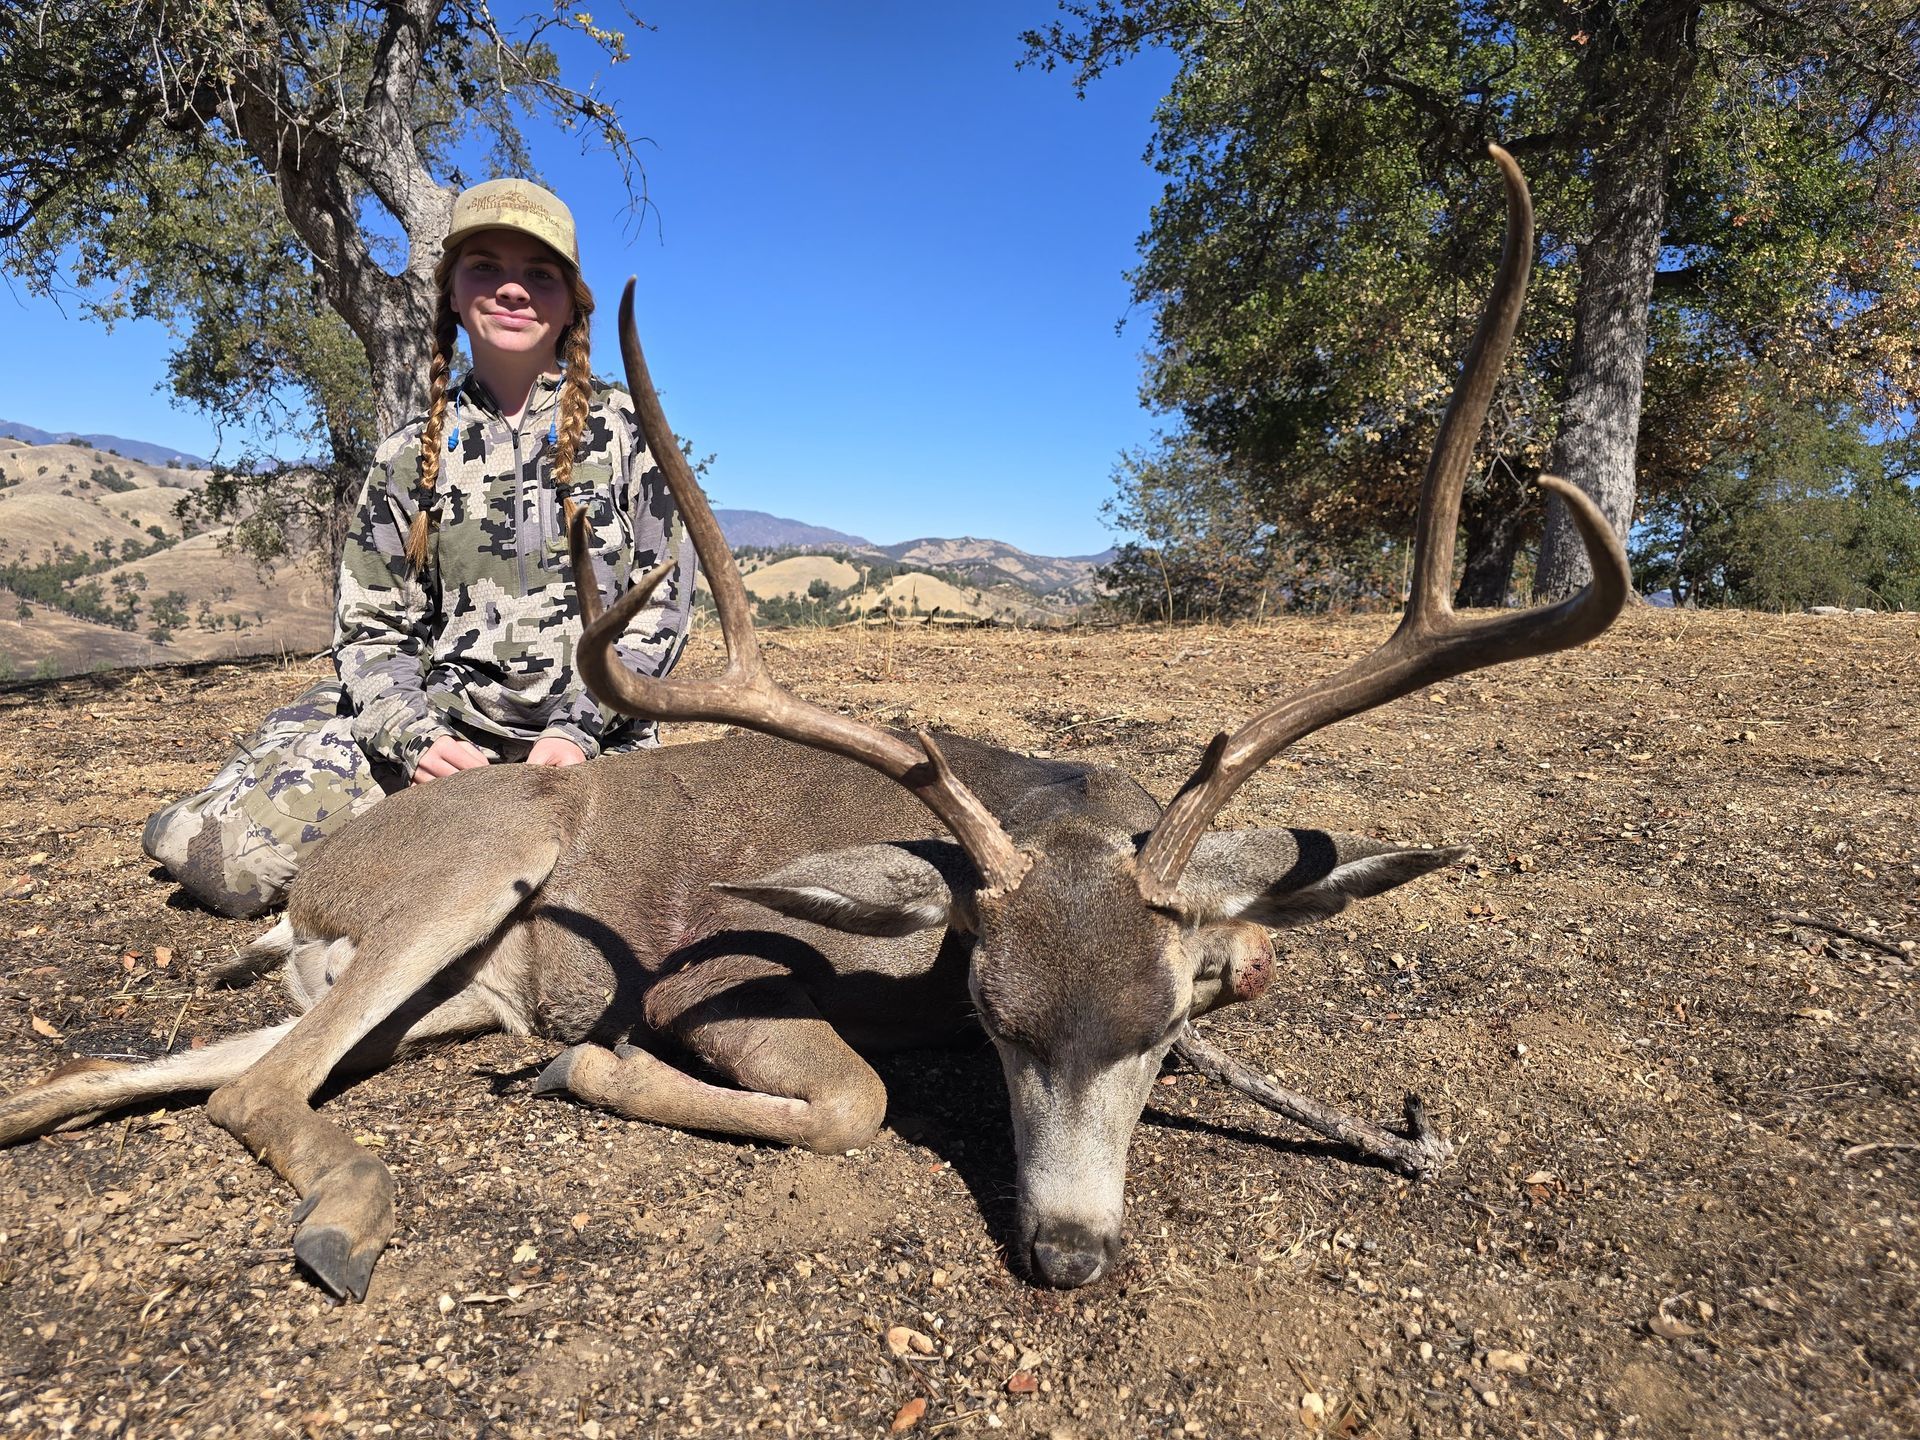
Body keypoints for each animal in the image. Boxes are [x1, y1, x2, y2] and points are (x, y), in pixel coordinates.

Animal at [0, 147, 1627, 1303]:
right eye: (991, 1016)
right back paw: (353, 1213)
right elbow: (848, 1097)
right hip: (478, 868)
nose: (1071, 1255)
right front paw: (588, 1070)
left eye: (1164, 1028)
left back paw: (42, 1112)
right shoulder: (717, 983)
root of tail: (314, 889)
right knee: (260, 1085)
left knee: (161, 1068)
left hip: (438, 990)